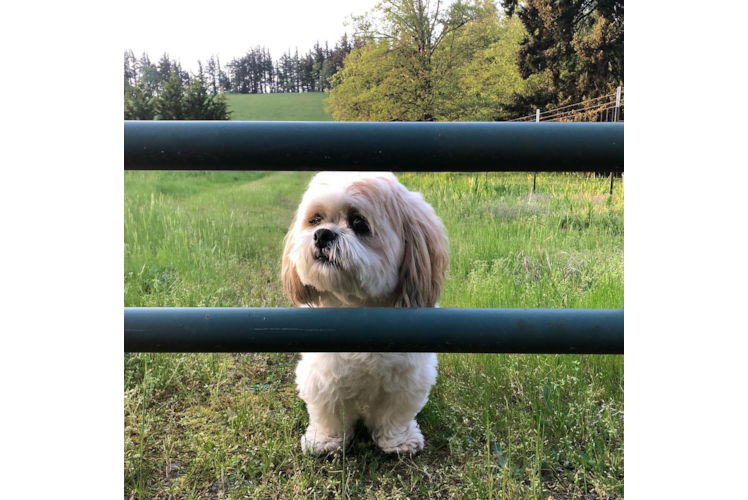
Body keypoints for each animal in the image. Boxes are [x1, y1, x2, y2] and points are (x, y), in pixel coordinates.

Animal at [282, 173, 448, 458]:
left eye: (359, 223)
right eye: (315, 219)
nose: (322, 234)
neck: (359, 309)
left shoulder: (410, 377)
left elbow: (395, 413)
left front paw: (398, 441)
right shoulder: (321, 375)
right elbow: (329, 412)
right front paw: (326, 441)